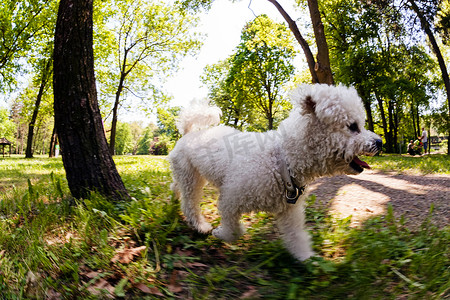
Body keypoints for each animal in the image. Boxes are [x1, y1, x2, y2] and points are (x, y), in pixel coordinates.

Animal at [170, 84, 384, 260]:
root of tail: (189, 133)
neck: (282, 160)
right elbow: (233, 230)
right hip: (191, 177)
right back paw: (200, 225)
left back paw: (174, 196)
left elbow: (296, 236)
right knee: (189, 203)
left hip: (188, 174)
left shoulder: (290, 212)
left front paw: (307, 258)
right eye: (353, 126)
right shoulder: (231, 199)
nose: (380, 142)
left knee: (177, 186)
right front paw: (220, 234)